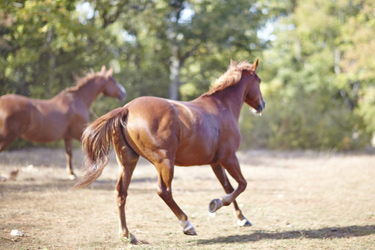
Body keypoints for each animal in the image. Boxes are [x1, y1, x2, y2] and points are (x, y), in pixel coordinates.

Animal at [75, 58, 266, 242]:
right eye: (259, 80)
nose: (262, 105)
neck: (222, 107)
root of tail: (126, 109)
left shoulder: (216, 163)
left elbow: (228, 187)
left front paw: (241, 218)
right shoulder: (229, 157)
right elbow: (241, 185)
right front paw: (217, 204)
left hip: (128, 162)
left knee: (121, 193)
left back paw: (127, 234)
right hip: (165, 162)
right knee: (164, 192)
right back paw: (187, 225)